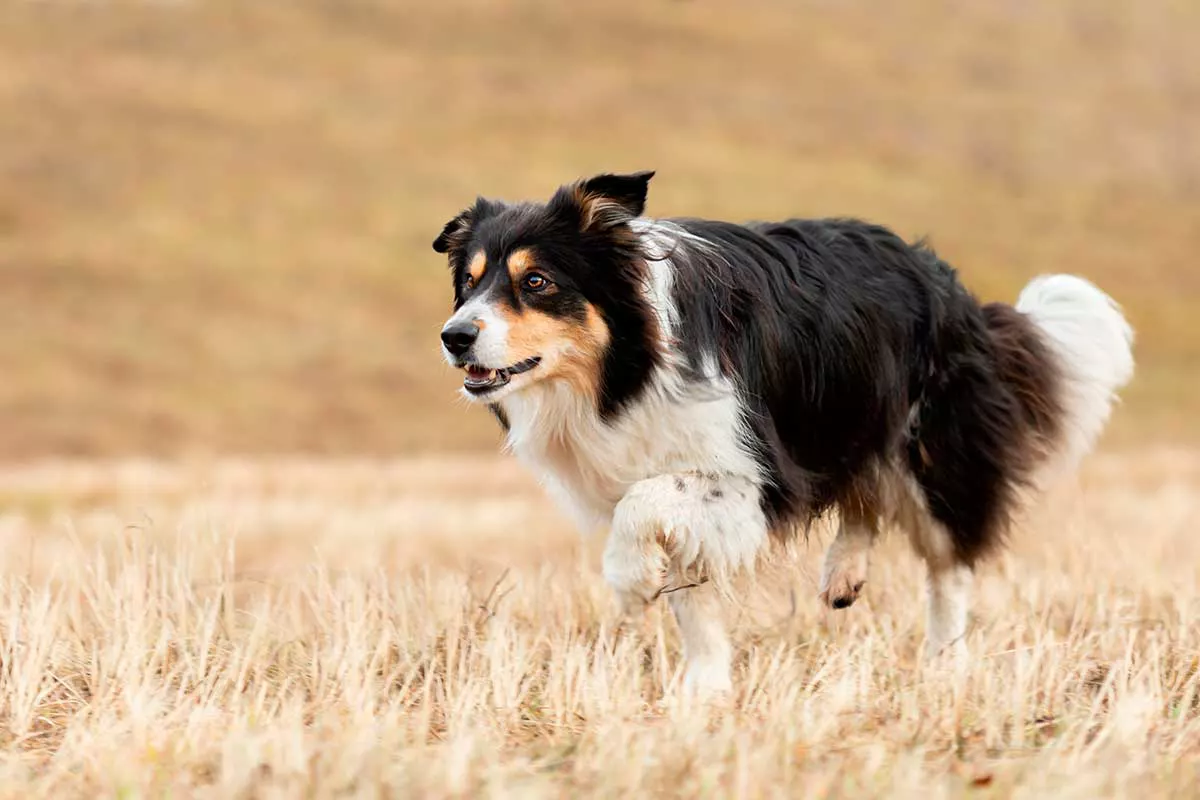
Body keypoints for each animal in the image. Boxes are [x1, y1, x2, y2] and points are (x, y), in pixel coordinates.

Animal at [434, 172, 1132, 695]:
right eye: (469, 282)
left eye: (536, 281)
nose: (454, 336)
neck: (626, 366)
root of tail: (951, 286)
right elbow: (693, 595)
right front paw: (706, 692)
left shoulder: (754, 472)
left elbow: (643, 507)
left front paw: (629, 582)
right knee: (864, 493)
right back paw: (845, 573)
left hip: (929, 443)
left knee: (949, 562)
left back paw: (944, 662)